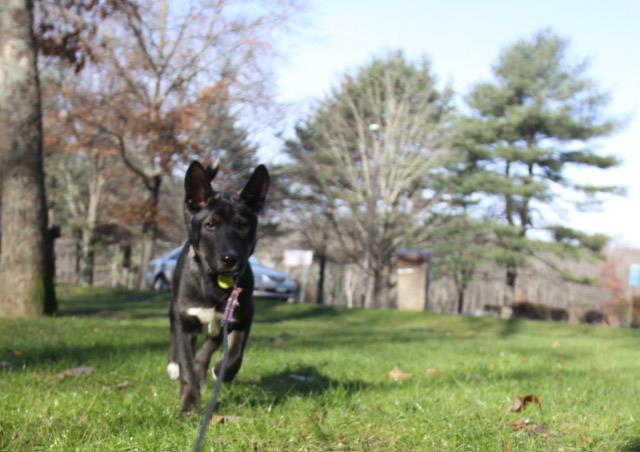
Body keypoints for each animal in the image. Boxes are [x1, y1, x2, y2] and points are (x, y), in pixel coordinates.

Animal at [166, 161, 268, 412]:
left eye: (243, 225)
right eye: (210, 224)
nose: (230, 259)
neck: (216, 282)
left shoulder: (241, 318)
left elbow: (235, 355)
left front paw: (220, 371)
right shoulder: (185, 321)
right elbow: (186, 364)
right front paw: (189, 405)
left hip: (216, 325)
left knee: (208, 348)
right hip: (175, 309)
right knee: (177, 340)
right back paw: (174, 367)